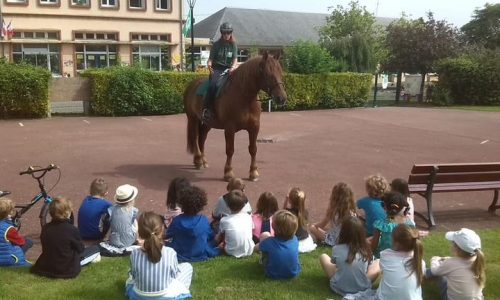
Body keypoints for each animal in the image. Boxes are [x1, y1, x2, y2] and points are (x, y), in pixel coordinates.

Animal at [184, 51, 288, 182]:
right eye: (267, 74)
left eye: (280, 72)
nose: (282, 98)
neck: (244, 97)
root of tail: (192, 85)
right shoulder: (230, 128)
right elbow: (230, 150)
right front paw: (228, 173)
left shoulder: (254, 128)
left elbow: (253, 149)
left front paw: (253, 173)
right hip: (193, 119)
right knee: (195, 137)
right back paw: (198, 160)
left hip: (208, 123)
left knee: (202, 138)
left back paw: (204, 161)